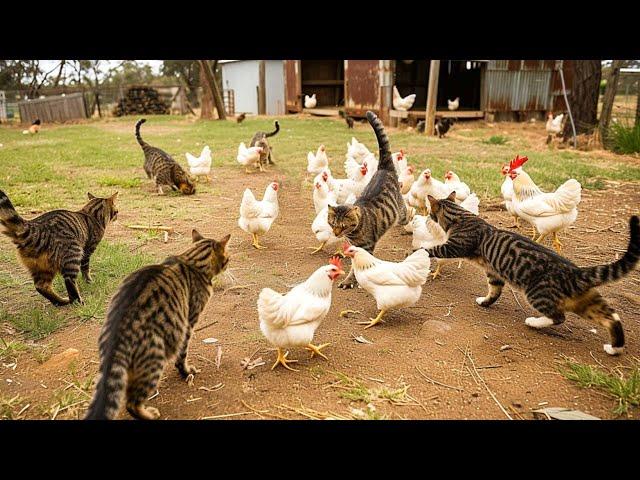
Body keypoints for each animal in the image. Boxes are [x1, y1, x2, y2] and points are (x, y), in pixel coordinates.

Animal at [84, 231, 231, 418]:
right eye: (227, 258)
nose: (229, 263)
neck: (191, 261)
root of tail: (116, 335)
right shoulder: (188, 323)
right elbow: (182, 355)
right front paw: (186, 372)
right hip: (155, 359)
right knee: (132, 403)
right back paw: (149, 414)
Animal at [328, 111, 408, 288]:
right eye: (332, 224)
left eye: (343, 226)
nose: (336, 234)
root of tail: (384, 168)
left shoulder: (366, 247)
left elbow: (357, 268)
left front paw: (350, 281)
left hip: (401, 213)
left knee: (408, 211)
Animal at [422, 192, 636, 356]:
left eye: (431, 212)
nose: (427, 217)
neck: (461, 216)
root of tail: (575, 271)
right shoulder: (493, 272)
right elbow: (494, 291)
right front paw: (485, 302)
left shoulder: (455, 247)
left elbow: (434, 249)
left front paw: (419, 250)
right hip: (586, 301)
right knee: (612, 318)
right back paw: (615, 348)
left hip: (537, 294)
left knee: (558, 317)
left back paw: (533, 322)